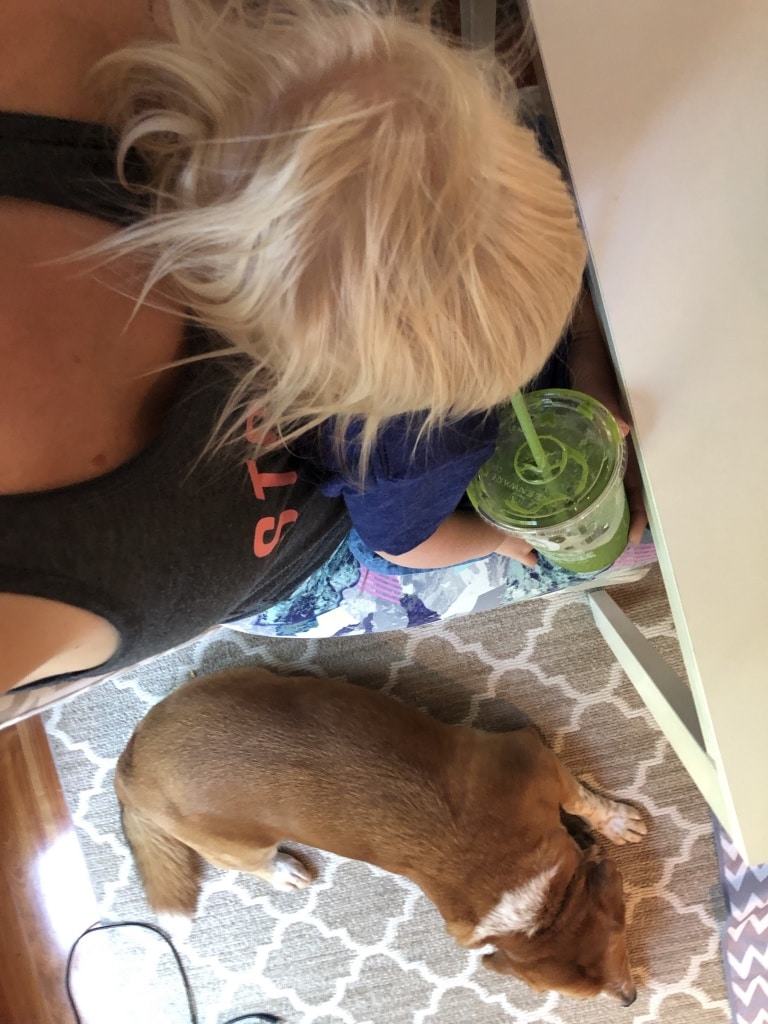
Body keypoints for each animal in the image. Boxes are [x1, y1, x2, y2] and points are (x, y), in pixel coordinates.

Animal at [115, 668, 646, 1003]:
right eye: (554, 993)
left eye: (620, 943)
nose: (628, 1001)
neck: (538, 906)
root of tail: (127, 770)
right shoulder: (532, 758)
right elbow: (580, 799)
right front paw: (612, 821)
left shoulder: (535, 764)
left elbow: (582, 801)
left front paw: (614, 822)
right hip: (241, 848)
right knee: (258, 864)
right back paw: (285, 872)